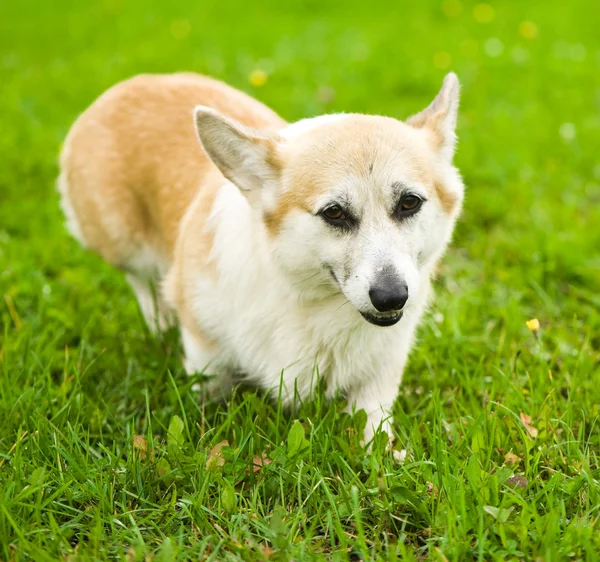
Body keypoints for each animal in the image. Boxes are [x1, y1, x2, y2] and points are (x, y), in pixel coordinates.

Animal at [59, 71, 464, 446]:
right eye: (334, 213)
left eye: (409, 202)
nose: (393, 297)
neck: (312, 304)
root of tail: (134, 82)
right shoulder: (204, 347)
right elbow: (208, 396)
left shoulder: (381, 370)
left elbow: (372, 421)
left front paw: (381, 454)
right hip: (124, 245)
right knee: (143, 281)